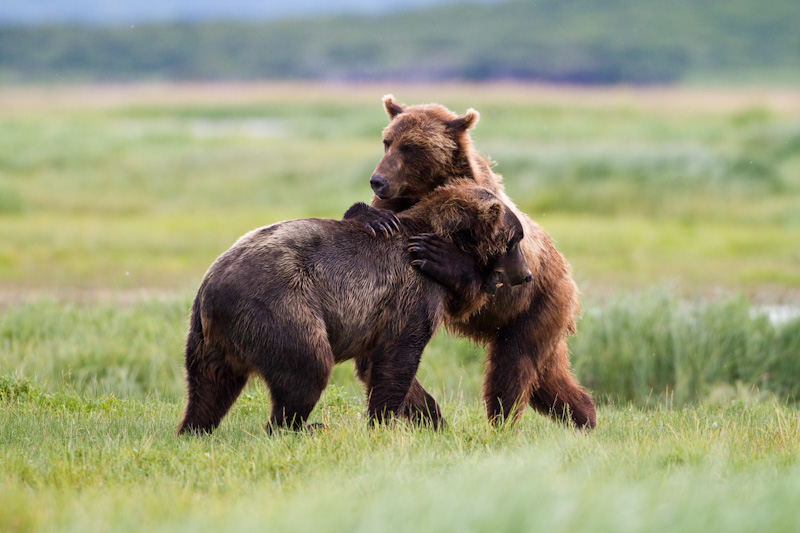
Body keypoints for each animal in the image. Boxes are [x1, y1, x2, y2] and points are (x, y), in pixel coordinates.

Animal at [178, 181, 536, 434]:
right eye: (515, 239)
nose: (526, 274)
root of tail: (211, 287)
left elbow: (378, 364)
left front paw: (434, 421)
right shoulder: (412, 290)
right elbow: (399, 357)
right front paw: (381, 422)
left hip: (208, 338)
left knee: (210, 387)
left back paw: (195, 427)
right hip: (280, 305)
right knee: (308, 365)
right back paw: (300, 426)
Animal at [346, 94, 596, 428]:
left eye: (411, 147)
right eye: (387, 141)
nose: (378, 181)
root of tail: (568, 274)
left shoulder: (489, 232)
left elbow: (475, 290)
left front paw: (438, 256)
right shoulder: (398, 207)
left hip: (538, 303)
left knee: (514, 364)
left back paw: (505, 422)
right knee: (548, 378)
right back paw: (583, 416)